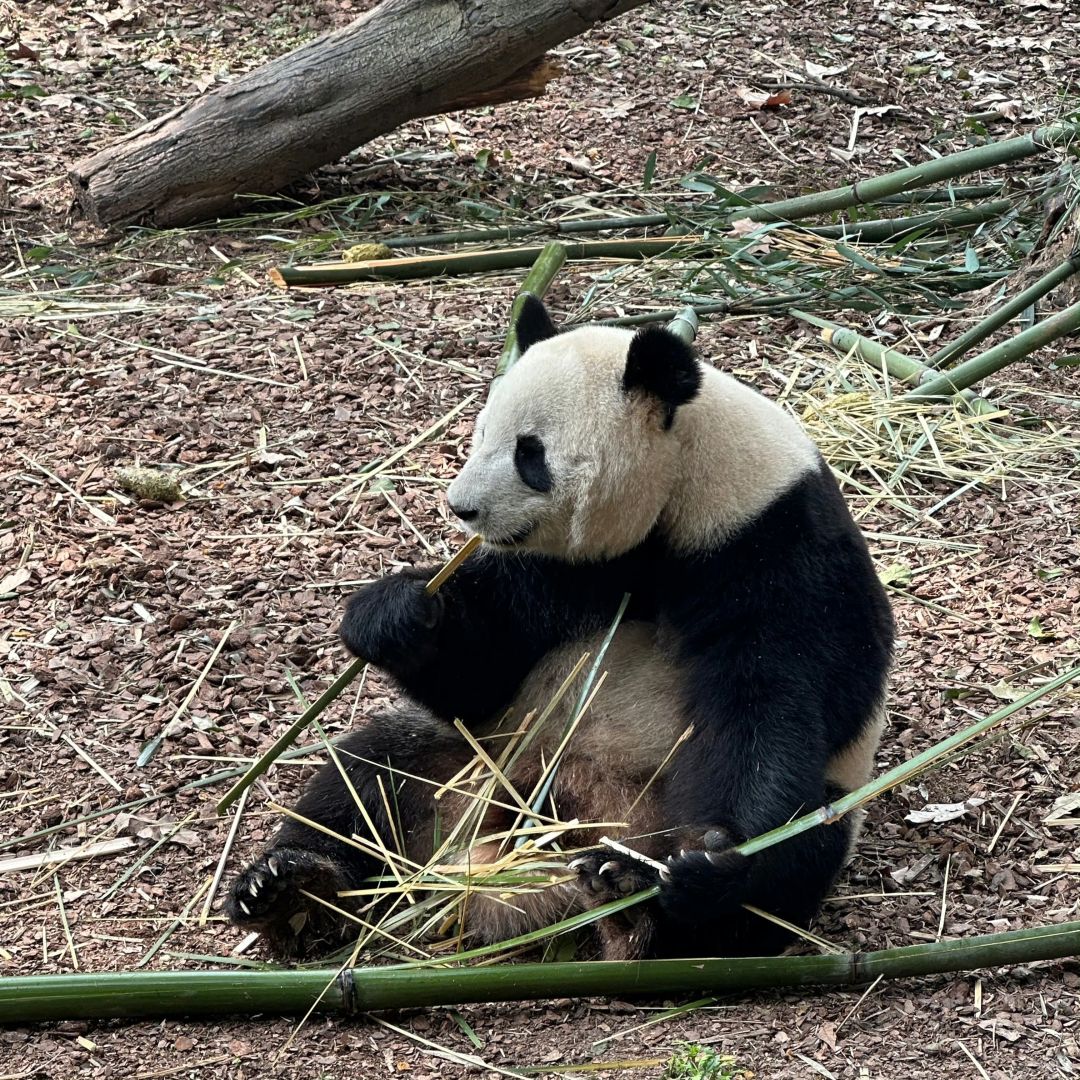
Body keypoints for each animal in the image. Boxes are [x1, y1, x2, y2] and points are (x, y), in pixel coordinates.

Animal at [227, 298, 894, 963]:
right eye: (482, 434)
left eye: (530, 454)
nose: (461, 507)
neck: (683, 485)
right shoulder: (553, 570)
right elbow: (480, 673)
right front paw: (396, 614)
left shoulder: (776, 546)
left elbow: (767, 703)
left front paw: (708, 858)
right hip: (482, 754)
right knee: (368, 779)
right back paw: (291, 888)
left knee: (797, 855)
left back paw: (636, 897)